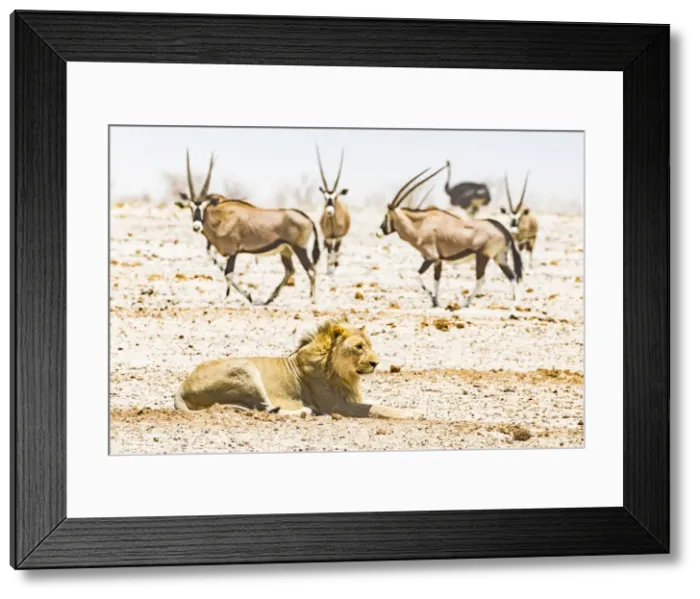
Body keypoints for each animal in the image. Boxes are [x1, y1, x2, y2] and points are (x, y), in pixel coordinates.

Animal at [174, 317, 421, 419]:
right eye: (359, 347)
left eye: (370, 345)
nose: (375, 363)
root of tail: (182, 385)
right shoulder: (337, 406)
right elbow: (376, 408)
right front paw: (410, 414)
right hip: (246, 368)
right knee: (266, 408)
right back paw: (304, 411)